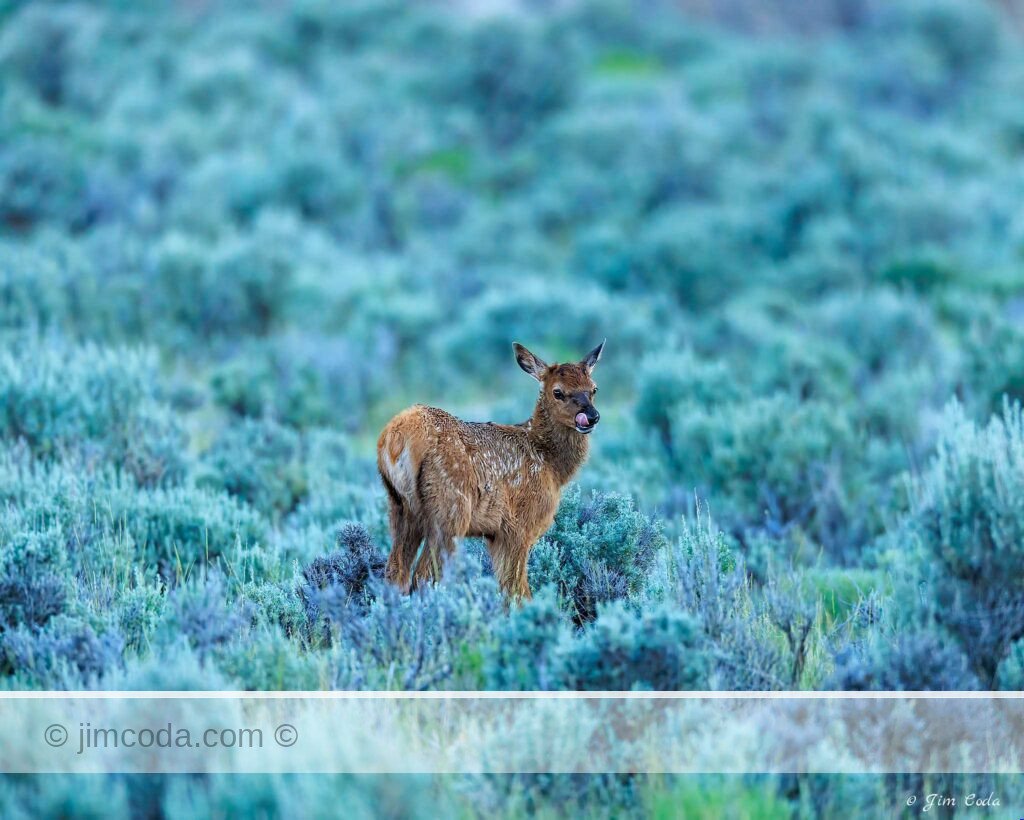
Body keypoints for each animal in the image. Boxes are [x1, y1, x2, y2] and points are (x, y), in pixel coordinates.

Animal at [377, 340, 605, 600]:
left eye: (593, 389)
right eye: (558, 392)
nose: (591, 416)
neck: (551, 465)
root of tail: (397, 436)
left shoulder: (496, 534)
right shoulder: (518, 526)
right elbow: (516, 590)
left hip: (400, 507)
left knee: (395, 571)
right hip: (450, 508)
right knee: (425, 575)